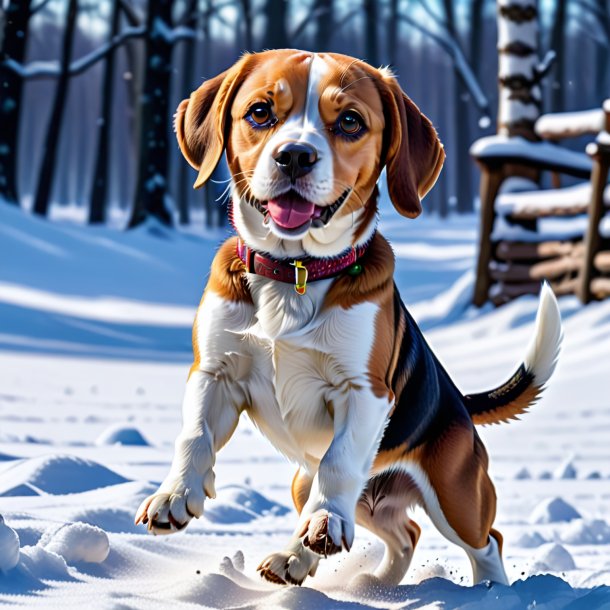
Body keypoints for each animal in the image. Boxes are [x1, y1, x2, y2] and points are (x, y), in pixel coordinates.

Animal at [134, 51, 560, 584]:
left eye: (351, 122)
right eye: (259, 112)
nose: (294, 155)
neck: (294, 271)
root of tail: (459, 401)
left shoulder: (365, 391)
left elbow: (337, 462)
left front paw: (325, 523)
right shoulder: (214, 372)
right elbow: (194, 436)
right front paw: (174, 496)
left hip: (457, 494)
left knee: (486, 542)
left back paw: (486, 591)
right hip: (315, 485)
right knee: (401, 532)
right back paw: (333, 571)